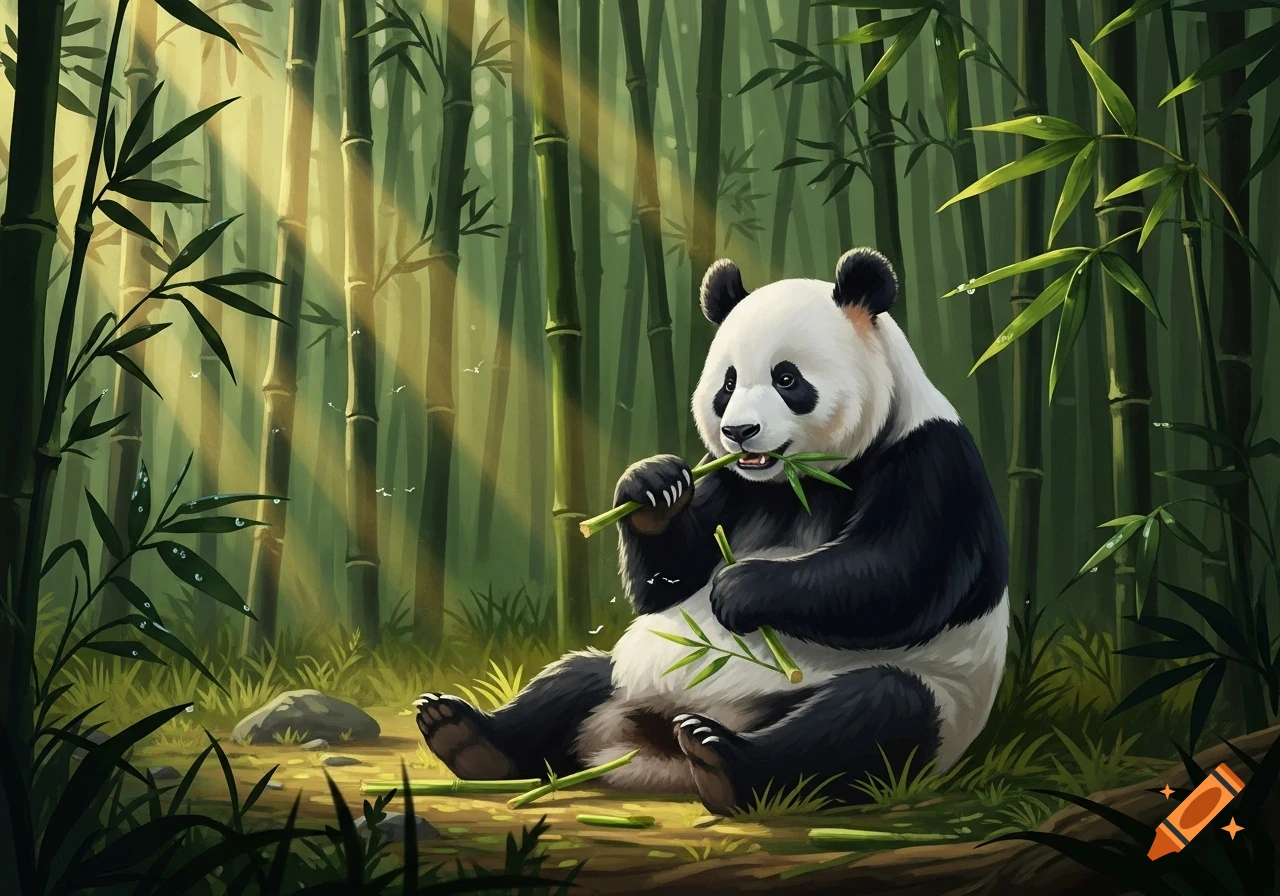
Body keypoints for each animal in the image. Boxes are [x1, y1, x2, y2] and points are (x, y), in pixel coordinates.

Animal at [415, 248, 1009, 815]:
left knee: (870, 717)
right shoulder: (727, 479)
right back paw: (465, 735)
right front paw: (652, 486)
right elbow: (666, 584)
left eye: (787, 378)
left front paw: (740, 589)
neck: (797, 481)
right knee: (574, 678)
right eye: (727, 383)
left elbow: (901, 577)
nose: (739, 431)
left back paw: (722, 760)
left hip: (934, 704)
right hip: (627, 679)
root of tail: (655, 749)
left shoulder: (929, 459)